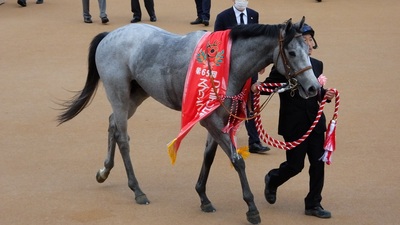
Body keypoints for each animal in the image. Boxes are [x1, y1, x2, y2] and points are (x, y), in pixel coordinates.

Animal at [57, 16, 320, 224]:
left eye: (308, 51)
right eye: (292, 53)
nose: (313, 88)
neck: (226, 65)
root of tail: (109, 35)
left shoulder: (217, 119)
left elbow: (209, 157)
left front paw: (203, 196)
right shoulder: (210, 121)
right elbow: (237, 160)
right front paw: (252, 208)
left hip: (137, 94)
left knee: (112, 124)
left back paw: (105, 170)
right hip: (118, 93)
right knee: (122, 136)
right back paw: (137, 190)